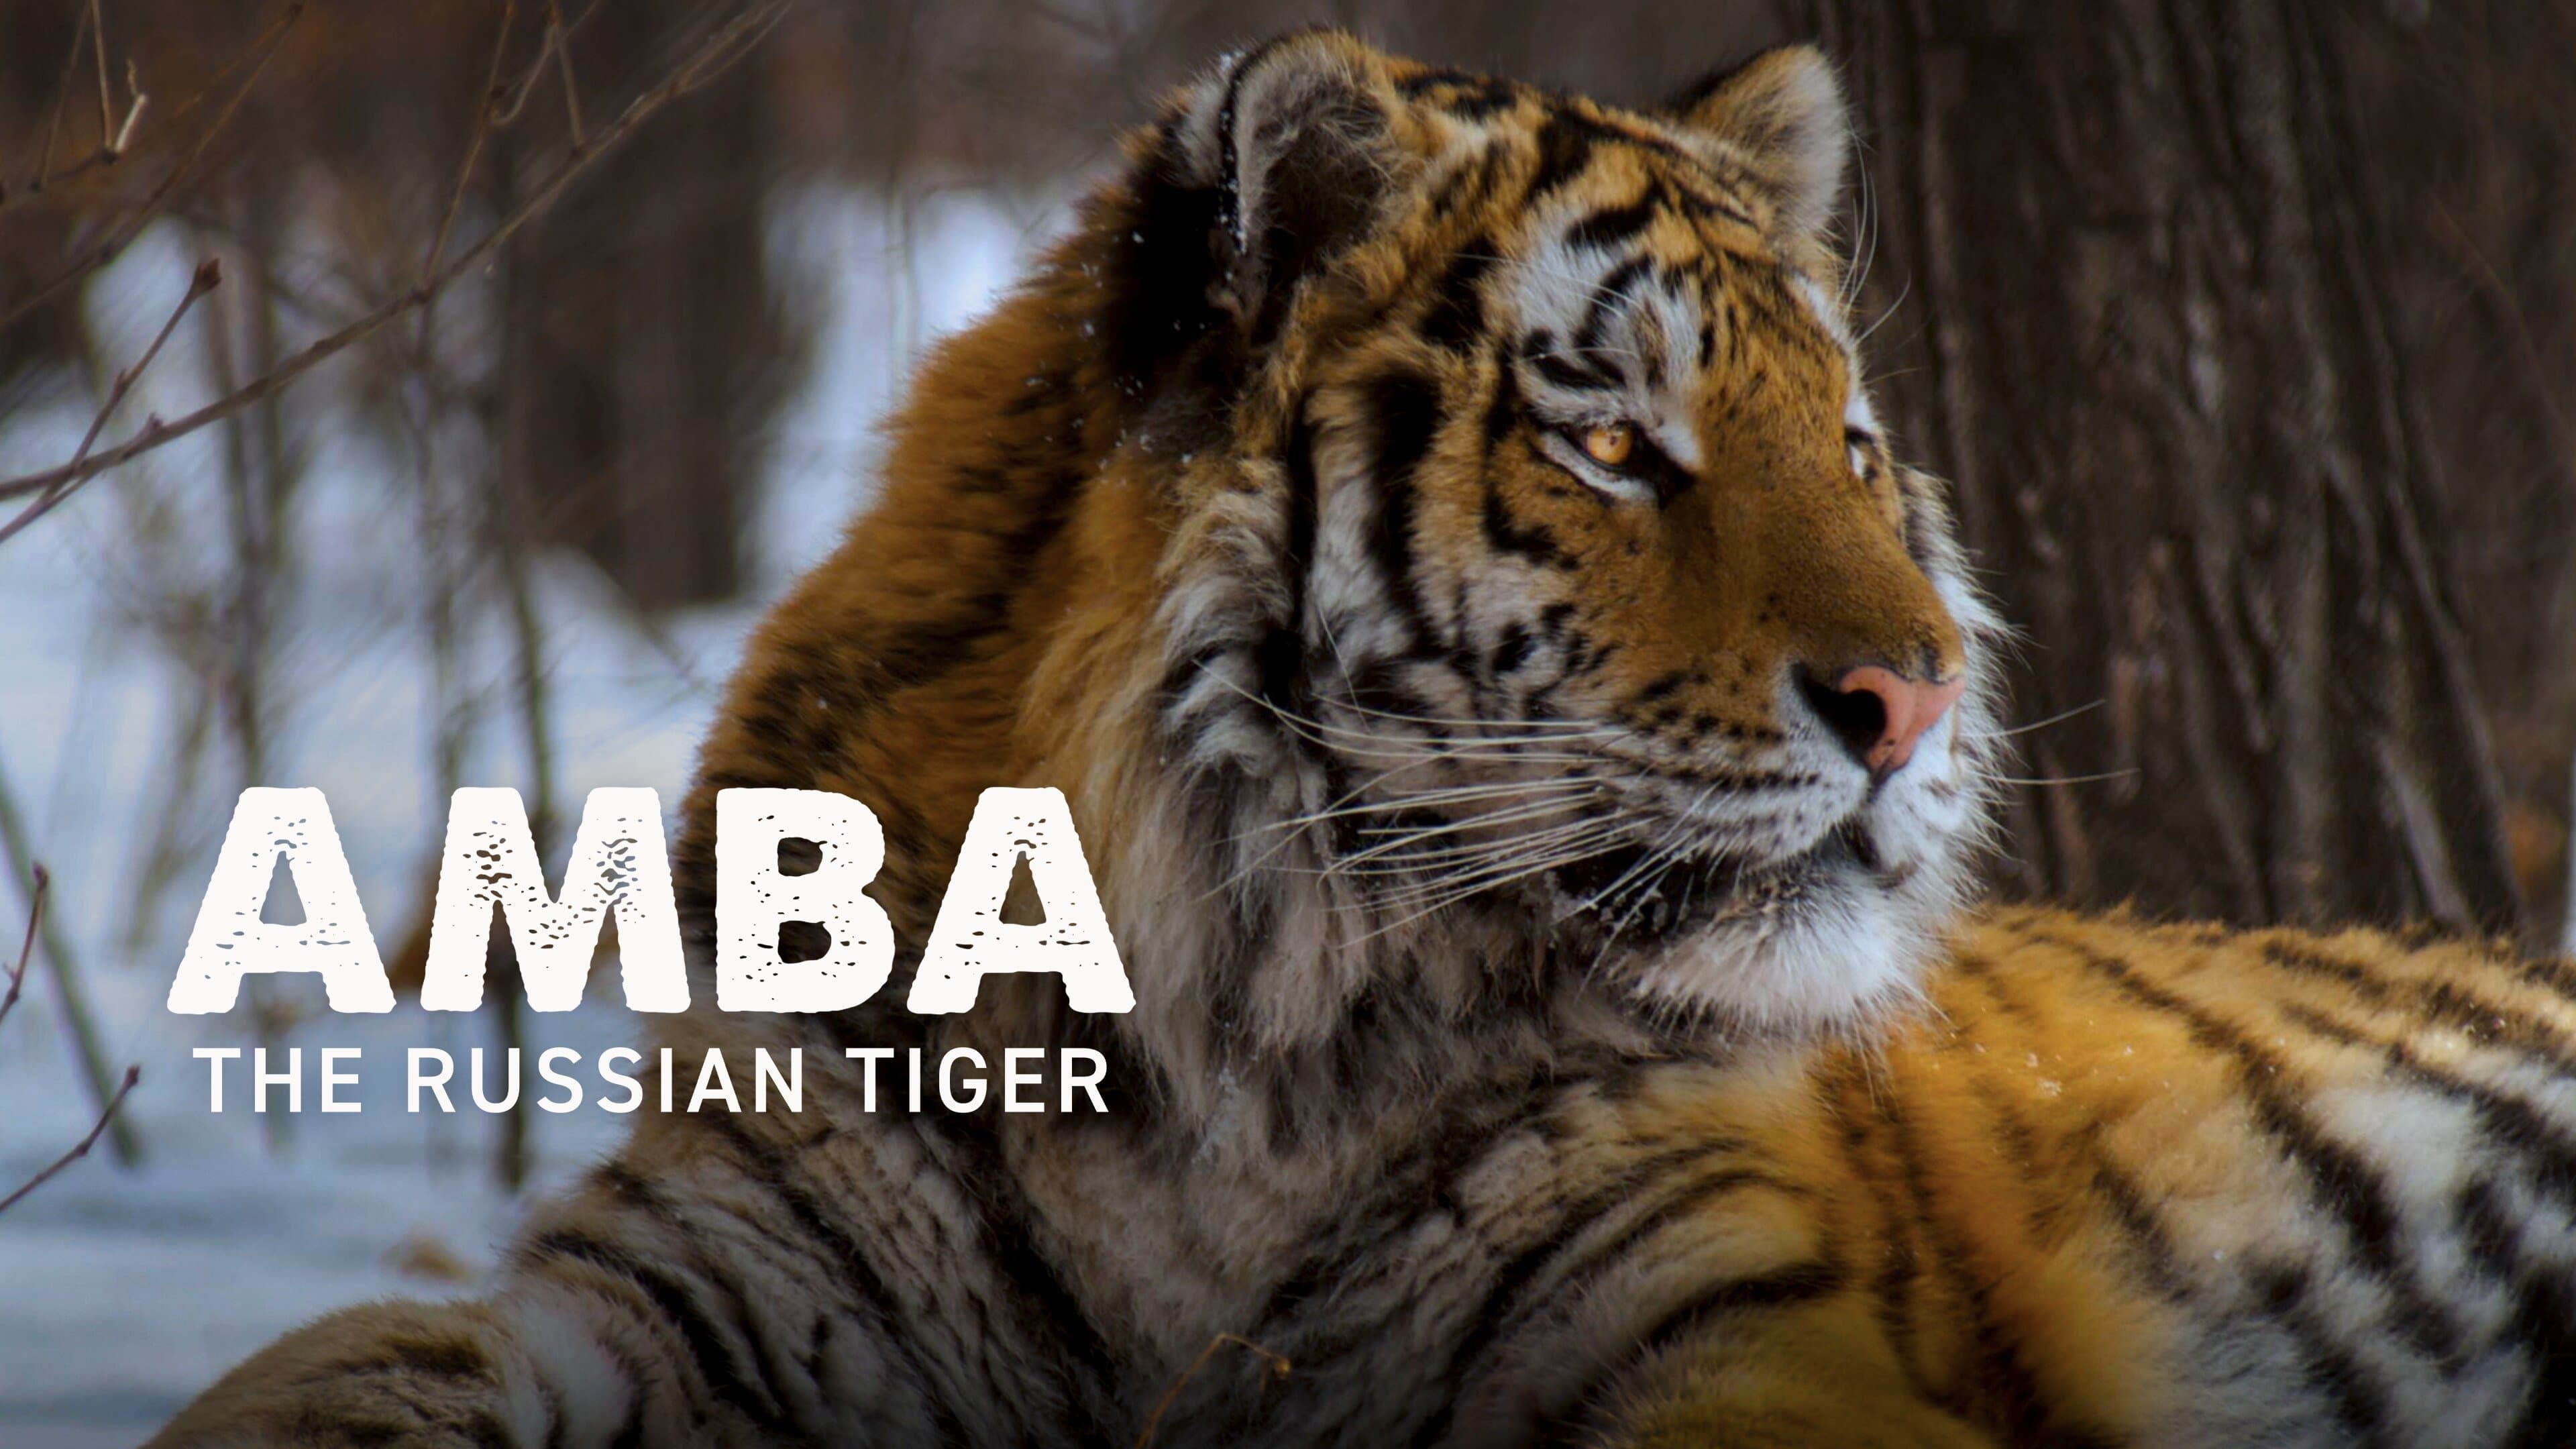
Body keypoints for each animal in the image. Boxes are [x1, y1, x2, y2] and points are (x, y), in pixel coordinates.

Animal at [151, 30, 2576, 1449]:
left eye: (1856, 446)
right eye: (1614, 442)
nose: (1926, 701)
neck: (1226, 1075)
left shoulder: (1738, 1331)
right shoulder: (715, 1278)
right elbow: (344, 1367)